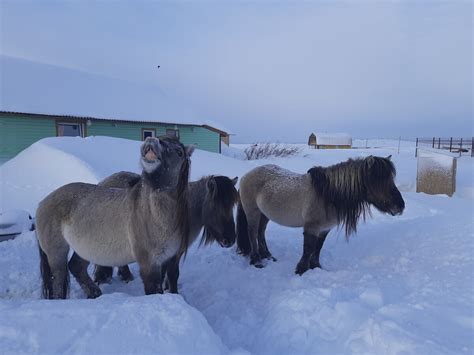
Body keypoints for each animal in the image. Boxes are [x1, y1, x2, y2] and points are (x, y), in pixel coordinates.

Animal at [34, 138, 194, 298]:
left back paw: (95, 293)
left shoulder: (171, 257)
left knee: (76, 267)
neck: (154, 214)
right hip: (57, 252)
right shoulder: (149, 262)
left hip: (85, 250)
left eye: (179, 151)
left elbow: (171, 278)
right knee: (58, 279)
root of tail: (42, 203)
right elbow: (153, 288)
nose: (152, 140)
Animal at [236, 156, 404, 276]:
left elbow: (318, 248)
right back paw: (257, 261)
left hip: (265, 214)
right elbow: (308, 248)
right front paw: (301, 270)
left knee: (261, 232)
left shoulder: (324, 229)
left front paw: (316, 267)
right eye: (378, 182)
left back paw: (268, 256)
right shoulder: (312, 227)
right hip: (253, 212)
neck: (328, 194)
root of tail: (245, 176)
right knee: (252, 233)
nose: (400, 206)